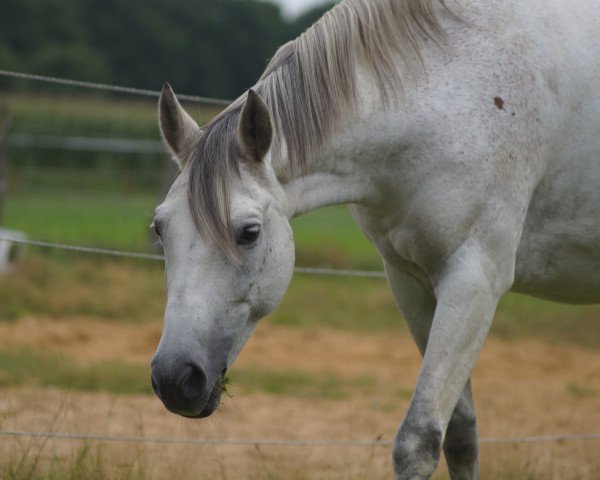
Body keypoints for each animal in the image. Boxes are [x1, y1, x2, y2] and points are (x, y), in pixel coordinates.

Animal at [149, 1, 600, 478]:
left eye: (249, 232)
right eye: (159, 229)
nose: (174, 377)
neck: (454, 95)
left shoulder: (476, 280)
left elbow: (418, 440)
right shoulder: (411, 280)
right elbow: (460, 434)